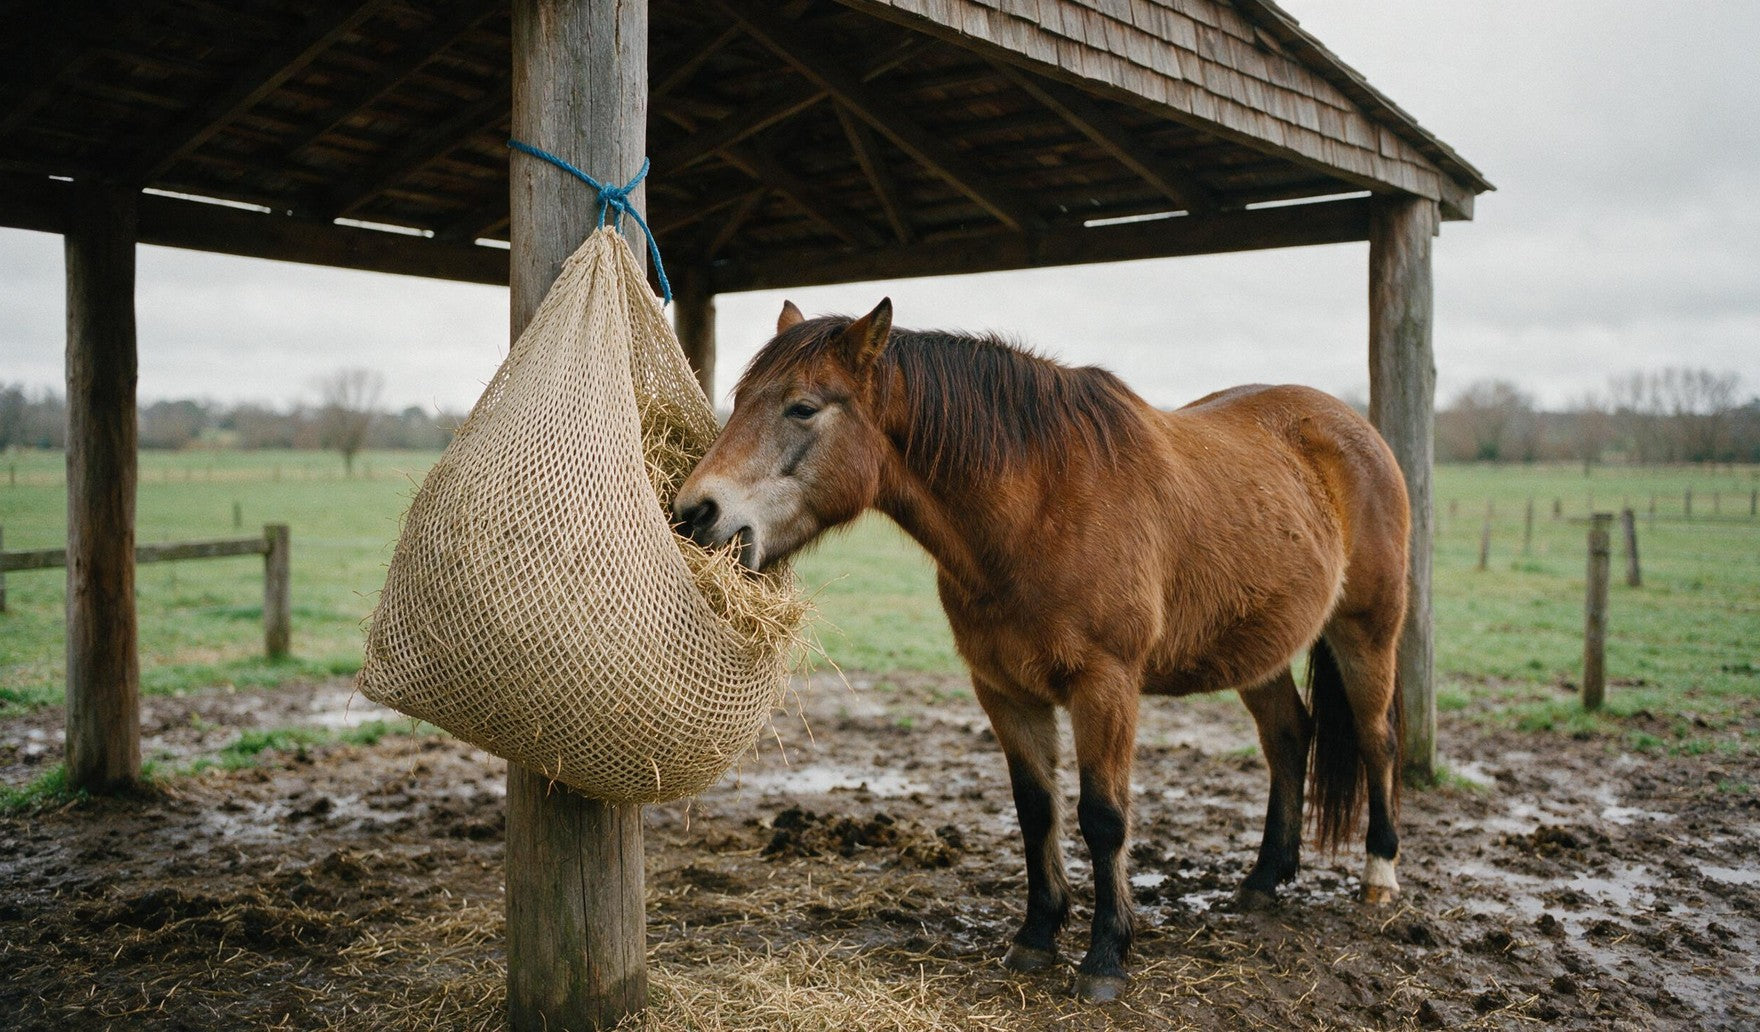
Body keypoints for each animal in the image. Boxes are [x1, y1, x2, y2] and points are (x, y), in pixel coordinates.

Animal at [674, 298, 1410, 1002]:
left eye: (802, 407)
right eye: (741, 398)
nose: (695, 514)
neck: (1039, 507)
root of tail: (1353, 428)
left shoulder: (1105, 686)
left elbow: (1103, 817)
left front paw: (1106, 958)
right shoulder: (1004, 690)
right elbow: (1037, 811)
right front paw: (1036, 936)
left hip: (1366, 631)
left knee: (1375, 739)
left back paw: (1379, 876)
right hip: (1256, 649)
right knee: (1288, 736)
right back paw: (1263, 880)